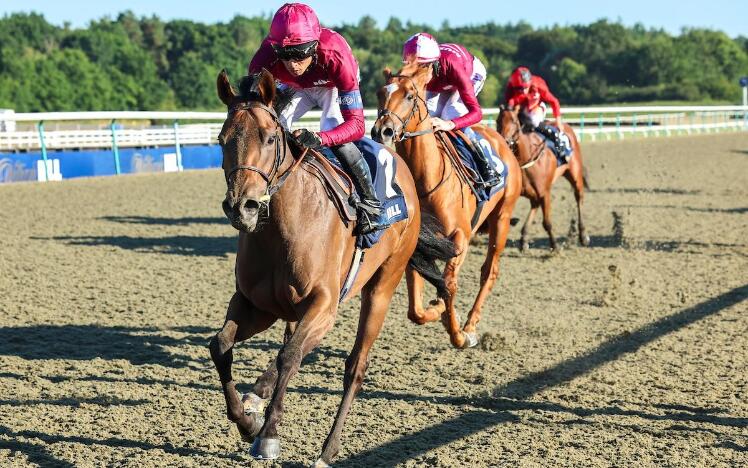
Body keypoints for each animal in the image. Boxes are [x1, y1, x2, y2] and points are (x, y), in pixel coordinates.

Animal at [206, 68, 450, 464]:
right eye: (222, 139)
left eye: (270, 138)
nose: (243, 207)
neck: (283, 227)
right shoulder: (256, 304)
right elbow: (221, 345)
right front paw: (246, 423)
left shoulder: (323, 304)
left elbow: (290, 356)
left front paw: (268, 435)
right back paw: (258, 394)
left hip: (382, 286)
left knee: (355, 366)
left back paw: (327, 449)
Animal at [372, 62, 520, 350]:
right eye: (380, 93)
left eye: (410, 95)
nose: (381, 131)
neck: (427, 177)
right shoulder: (418, 241)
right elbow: (415, 309)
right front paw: (438, 310)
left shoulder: (460, 237)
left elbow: (449, 284)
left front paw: (458, 333)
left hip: (503, 217)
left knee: (489, 272)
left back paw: (471, 325)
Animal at [496, 106, 592, 250]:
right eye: (497, 121)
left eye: (514, 121)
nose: (504, 141)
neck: (527, 158)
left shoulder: (545, 193)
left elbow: (547, 222)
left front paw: (555, 246)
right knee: (534, 204)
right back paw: (524, 238)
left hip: (574, 173)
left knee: (579, 197)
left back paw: (583, 235)